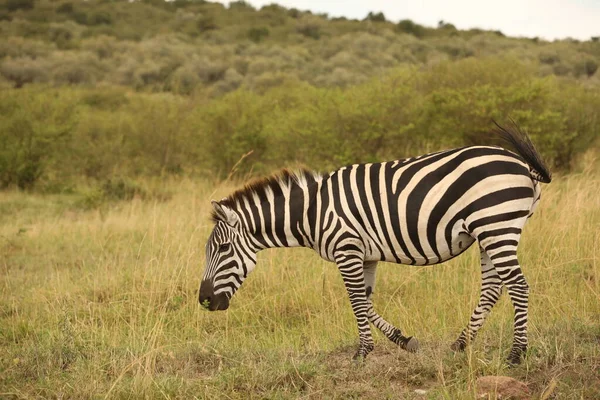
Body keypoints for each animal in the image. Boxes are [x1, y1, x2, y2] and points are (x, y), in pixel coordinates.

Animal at [200, 123, 552, 364]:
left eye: (223, 249)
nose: (204, 301)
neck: (313, 212)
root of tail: (522, 165)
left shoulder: (347, 249)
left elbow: (356, 302)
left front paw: (362, 352)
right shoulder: (365, 255)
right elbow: (367, 302)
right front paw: (404, 340)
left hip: (497, 225)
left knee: (518, 285)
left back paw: (517, 353)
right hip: (489, 233)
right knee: (493, 288)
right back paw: (461, 344)